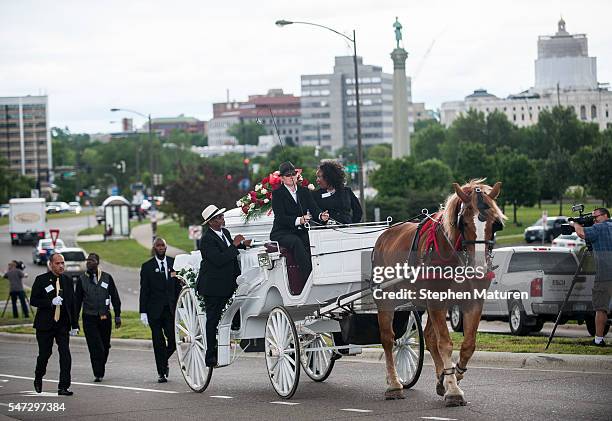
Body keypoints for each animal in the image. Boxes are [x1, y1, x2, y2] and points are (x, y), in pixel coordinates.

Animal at [372, 179, 506, 406]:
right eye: (464, 223)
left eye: (495, 223)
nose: (479, 268)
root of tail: (385, 235)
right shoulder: (436, 301)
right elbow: (445, 343)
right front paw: (453, 389)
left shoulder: (472, 301)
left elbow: (468, 344)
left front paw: (453, 376)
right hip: (387, 299)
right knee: (388, 339)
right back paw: (394, 384)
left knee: (427, 337)